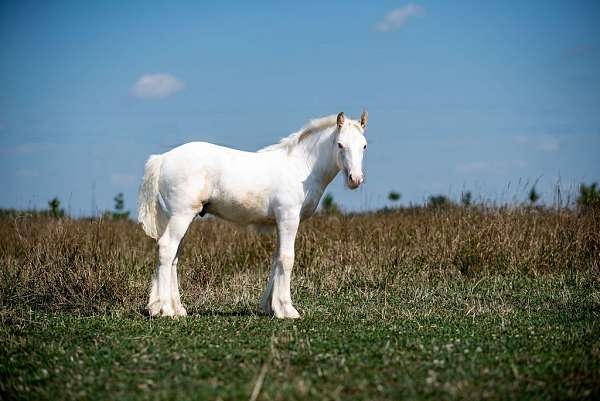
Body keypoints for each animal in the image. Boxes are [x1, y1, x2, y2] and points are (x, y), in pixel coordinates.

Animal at [138, 111, 368, 318]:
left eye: (364, 145)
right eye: (340, 144)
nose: (355, 179)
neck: (301, 167)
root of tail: (162, 158)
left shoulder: (279, 222)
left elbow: (276, 259)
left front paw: (271, 307)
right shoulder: (288, 219)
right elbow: (287, 258)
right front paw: (288, 310)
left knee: (173, 257)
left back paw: (174, 309)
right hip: (181, 216)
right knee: (167, 249)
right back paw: (165, 309)